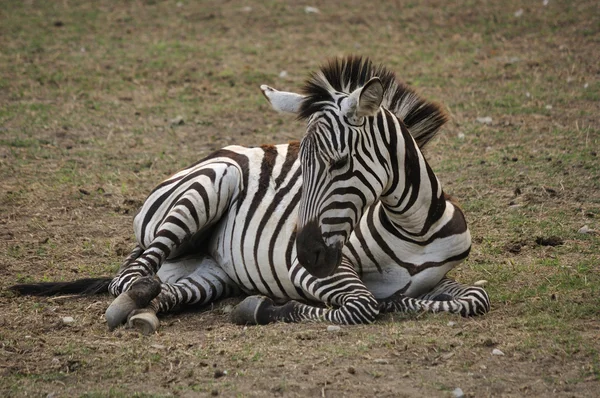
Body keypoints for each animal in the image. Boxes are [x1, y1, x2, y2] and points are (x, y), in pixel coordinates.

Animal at [11, 56, 490, 332]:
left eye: (339, 164)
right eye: (302, 166)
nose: (307, 252)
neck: (414, 230)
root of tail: (217, 152)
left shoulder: (440, 279)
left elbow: (473, 299)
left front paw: (404, 302)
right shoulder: (310, 273)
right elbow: (363, 306)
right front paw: (265, 309)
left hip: (210, 273)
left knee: (166, 288)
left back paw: (145, 312)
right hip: (208, 186)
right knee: (131, 274)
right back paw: (130, 303)